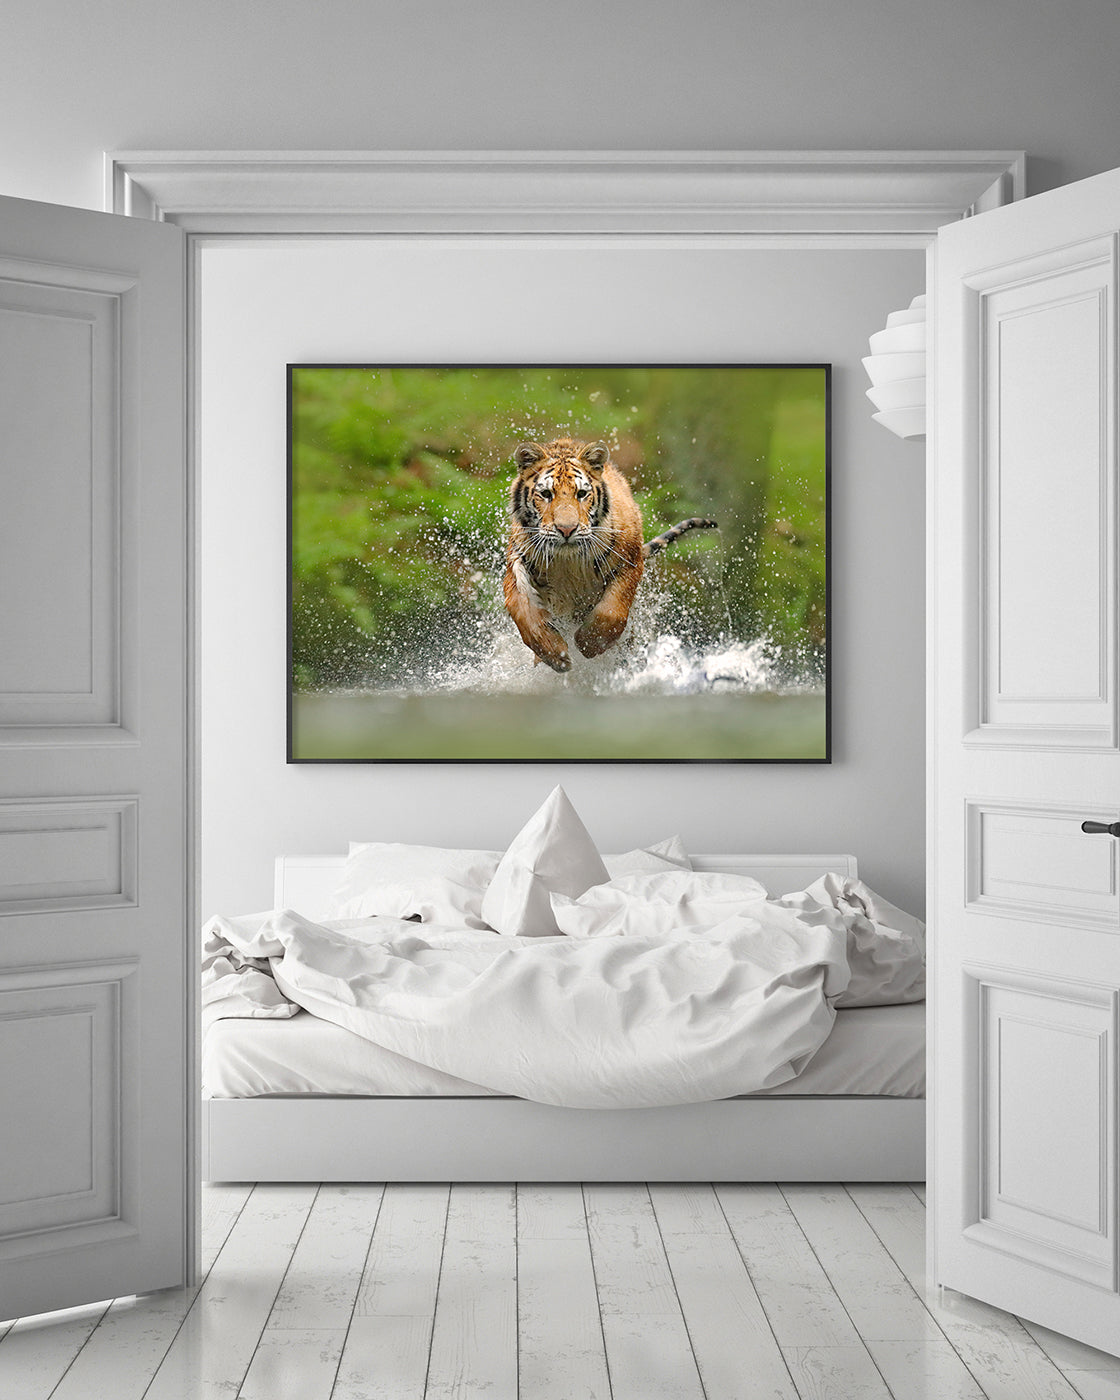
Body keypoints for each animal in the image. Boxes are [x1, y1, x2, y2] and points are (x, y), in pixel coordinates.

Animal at [502, 436, 717, 672]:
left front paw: (588, 644)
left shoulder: (630, 562)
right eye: (546, 494)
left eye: (581, 494)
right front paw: (555, 654)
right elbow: (523, 612)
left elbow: (612, 610)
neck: (567, 561)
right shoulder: (516, 565)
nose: (567, 530)